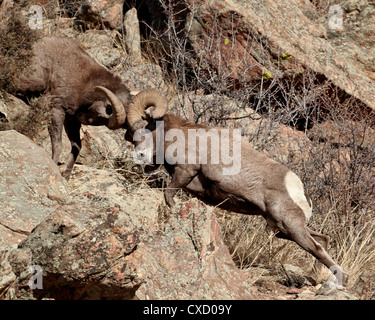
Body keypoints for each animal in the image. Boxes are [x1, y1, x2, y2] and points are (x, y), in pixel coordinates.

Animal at [13, 37, 167, 178]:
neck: (84, 82)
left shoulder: (72, 120)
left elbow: (76, 146)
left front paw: (66, 175)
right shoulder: (56, 110)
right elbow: (57, 144)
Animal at [127, 112, 346, 282]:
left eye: (145, 129)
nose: (139, 155)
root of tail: (301, 192)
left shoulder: (184, 173)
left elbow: (169, 199)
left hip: (289, 227)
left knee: (317, 248)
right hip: (281, 229)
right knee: (323, 240)